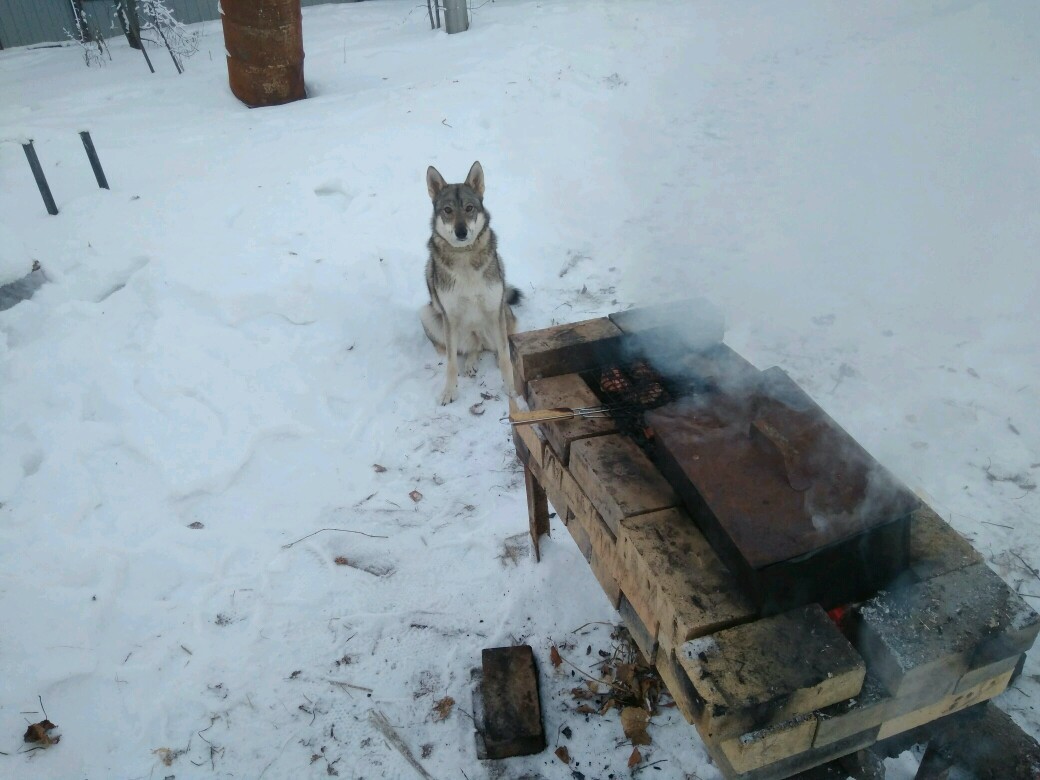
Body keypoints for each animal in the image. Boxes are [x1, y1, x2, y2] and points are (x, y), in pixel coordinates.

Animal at [418, 162, 524, 405]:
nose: (461, 231)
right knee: (471, 349)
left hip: (501, 317)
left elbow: (505, 357)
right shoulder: (450, 317)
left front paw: (510, 390)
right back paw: (470, 364)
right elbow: (450, 364)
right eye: (448, 210)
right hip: (428, 315)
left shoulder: (495, 309)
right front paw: (449, 392)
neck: (464, 256)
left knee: (494, 348)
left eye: (469, 208)